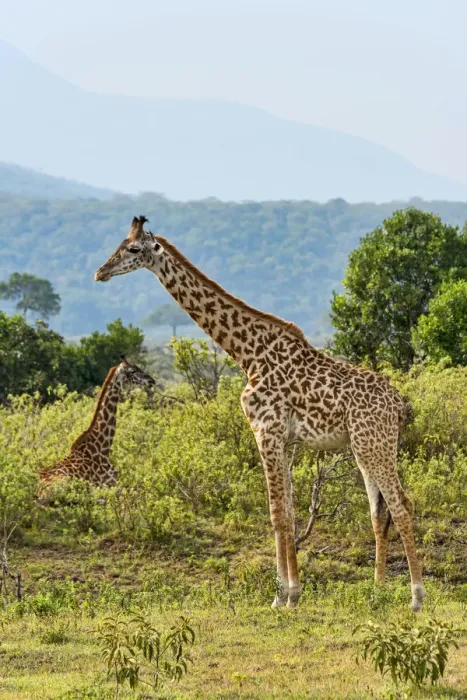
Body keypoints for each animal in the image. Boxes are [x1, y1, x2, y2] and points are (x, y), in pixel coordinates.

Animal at [94, 216, 426, 612]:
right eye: (117, 245)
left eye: (132, 248)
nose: (100, 271)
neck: (247, 353)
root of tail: (401, 404)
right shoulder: (282, 439)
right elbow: (288, 512)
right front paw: (288, 593)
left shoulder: (265, 431)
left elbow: (276, 513)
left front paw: (286, 595)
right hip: (366, 448)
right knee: (380, 513)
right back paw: (378, 591)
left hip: (374, 444)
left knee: (402, 505)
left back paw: (416, 597)